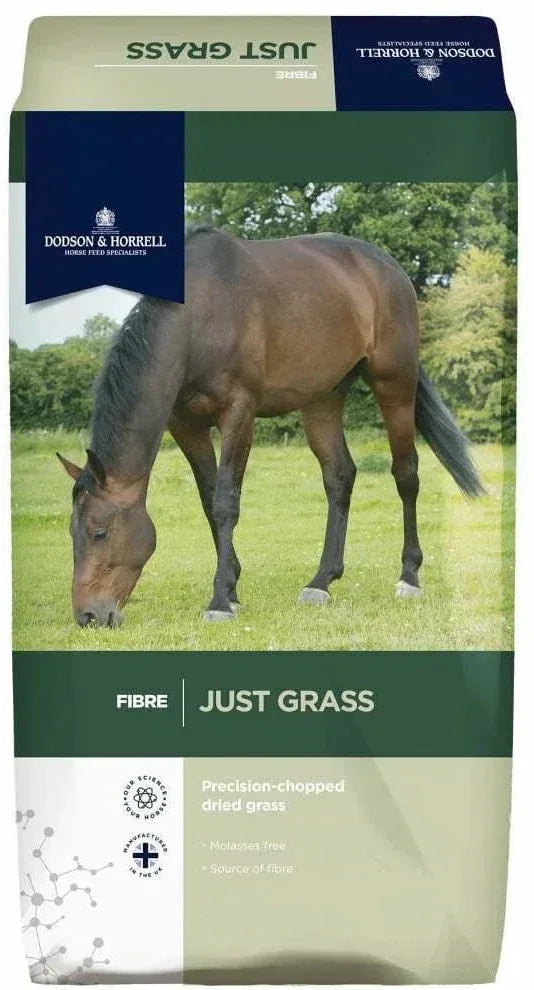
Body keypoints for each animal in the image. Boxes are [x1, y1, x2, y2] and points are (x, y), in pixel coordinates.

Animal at [57, 226, 482, 628]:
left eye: (99, 532)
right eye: (71, 533)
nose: (88, 616)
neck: (200, 315)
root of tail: (389, 268)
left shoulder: (239, 412)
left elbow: (226, 502)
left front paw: (219, 601)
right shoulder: (186, 424)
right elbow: (208, 501)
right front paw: (232, 589)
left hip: (395, 383)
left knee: (406, 474)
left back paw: (409, 576)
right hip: (322, 399)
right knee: (340, 476)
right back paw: (321, 581)